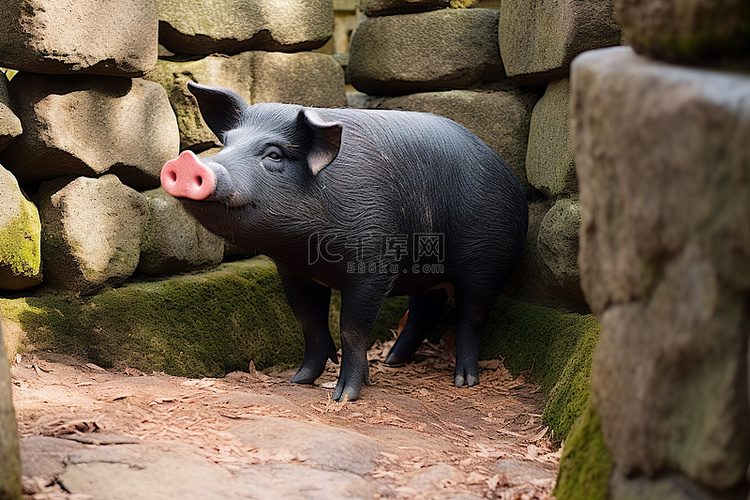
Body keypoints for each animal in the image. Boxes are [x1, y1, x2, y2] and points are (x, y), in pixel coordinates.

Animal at [162, 83, 532, 402]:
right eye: (226, 143)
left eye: (275, 155)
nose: (187, 161)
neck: (307, 250)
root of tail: (512, 177)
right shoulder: (294, 271)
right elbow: (309, 323)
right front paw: (298, 381)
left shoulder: (374, 264)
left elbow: (352, 329)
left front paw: (344, 397)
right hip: (424, 268)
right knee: (428, 306)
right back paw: (392, 361)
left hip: (487, 261)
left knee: (472, 315)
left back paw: (464, 381)